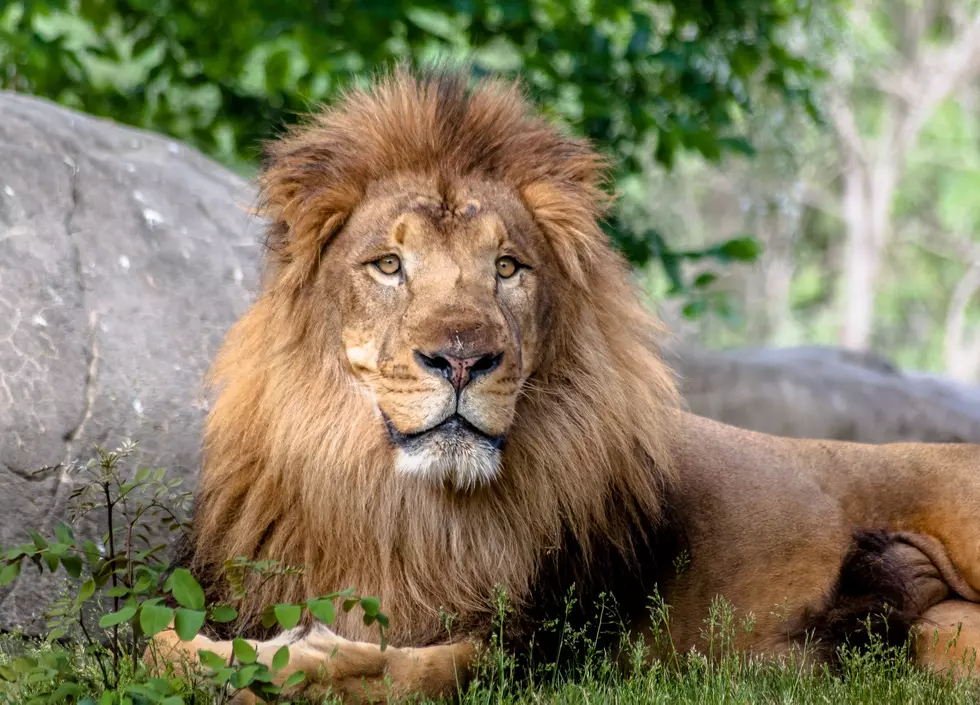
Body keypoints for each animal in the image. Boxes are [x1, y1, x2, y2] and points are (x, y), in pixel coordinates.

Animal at [149, 64, 980, 700]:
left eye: (507, 267)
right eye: (388, 265)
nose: (462, 359)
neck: (406, 509)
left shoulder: (554, 643)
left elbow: (419, 669)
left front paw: (301, 659)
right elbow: (156, 641)